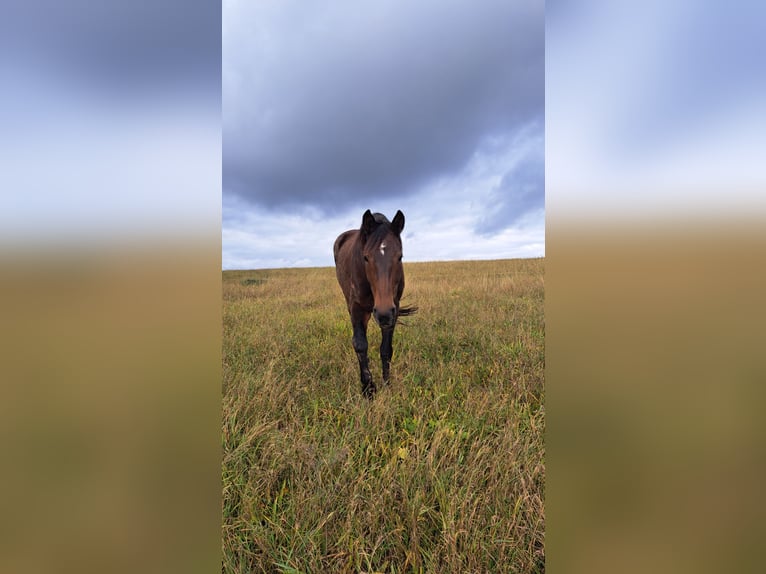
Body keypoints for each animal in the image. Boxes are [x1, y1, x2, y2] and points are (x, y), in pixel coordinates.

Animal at [333, 210, 416, 398]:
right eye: (365, 257)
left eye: (400, 256)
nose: (383, 314)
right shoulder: (357, 309)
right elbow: (360, 344)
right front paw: (368, 390)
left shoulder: (394, 310)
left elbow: (386, 349)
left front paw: (387, 385)